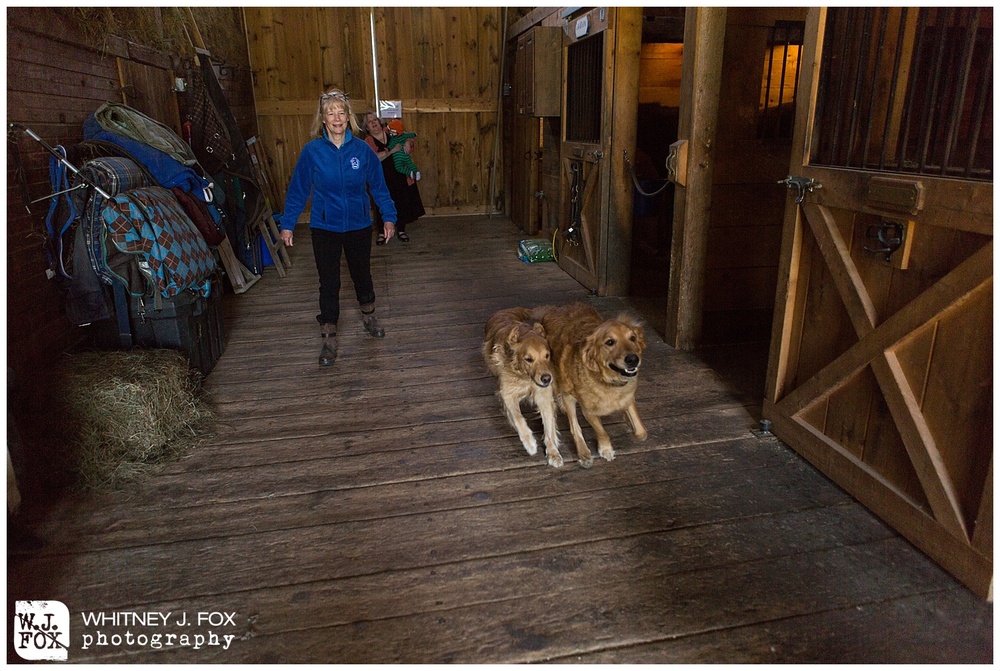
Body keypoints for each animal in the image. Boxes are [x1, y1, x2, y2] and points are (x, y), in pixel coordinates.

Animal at [484, 308, 564, 468]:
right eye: (528, 359)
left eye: (547, 355)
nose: (547, 379)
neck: (525, 377)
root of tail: (504, 311)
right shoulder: (507, 394)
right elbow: (518, 418)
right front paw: (530, 443)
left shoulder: (544, 395)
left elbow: (549, 425)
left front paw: (553, 453)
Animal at [540, 304, 648, 468]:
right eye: (609, 342)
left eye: (633, 338)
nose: (633, 359)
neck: (608, 382)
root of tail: (554, 309)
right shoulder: (588, 411)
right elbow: (601, 431)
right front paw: (605, 449)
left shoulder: (628, 398)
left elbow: (641, 431)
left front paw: (630, 421)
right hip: (567, 393)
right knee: (574, 426)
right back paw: (583, 452)